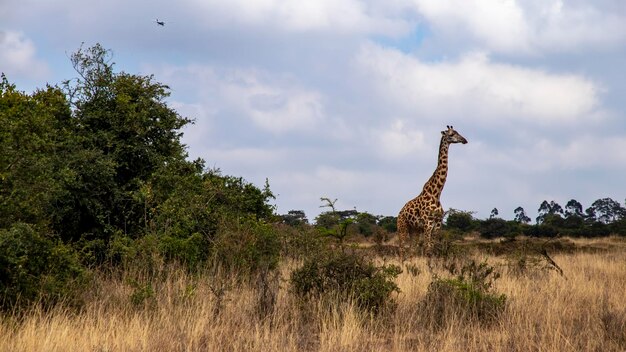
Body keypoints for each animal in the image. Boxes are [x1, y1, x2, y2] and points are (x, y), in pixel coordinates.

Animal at [398, 125, 466, 258]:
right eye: (451, 134)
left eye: (458, 132)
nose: (464, 140)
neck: (436, 193)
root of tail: (399, 213)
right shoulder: (427, 223)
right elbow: (427, 248)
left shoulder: (437, 224)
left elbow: (432, 249)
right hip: (402, 227)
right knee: (402, 249)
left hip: (414, 230)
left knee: (411, 249)